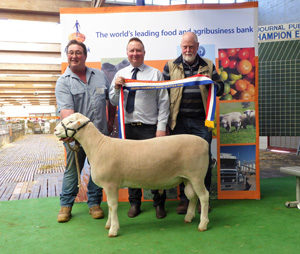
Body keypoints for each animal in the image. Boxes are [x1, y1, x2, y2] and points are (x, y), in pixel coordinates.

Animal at [55, 112, 211, 236]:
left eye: (70, 122)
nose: (55, 130)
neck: (98, 146)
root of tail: (204, 143)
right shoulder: (108, 186)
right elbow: (110, 206)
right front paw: (109, 224)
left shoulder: (110, 184)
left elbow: (113, 205)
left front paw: (113, 230)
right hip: (187, 178)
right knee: (192, 196)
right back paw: (189, 217)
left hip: (197, 175)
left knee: (204, 196)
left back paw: (203, 224)